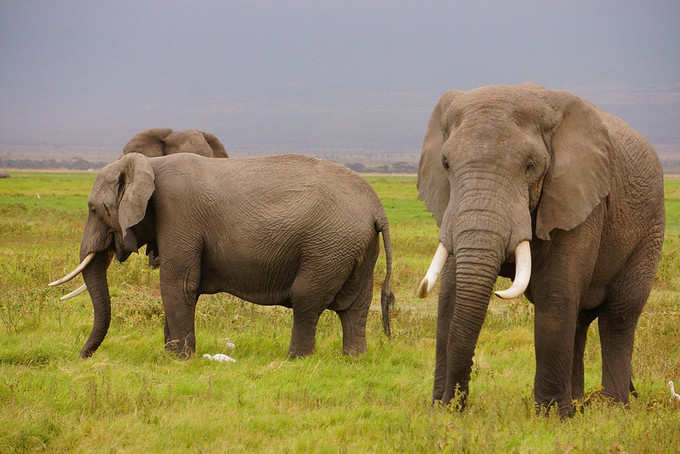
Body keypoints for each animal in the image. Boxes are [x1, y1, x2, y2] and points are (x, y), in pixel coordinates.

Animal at [49, 154, 394, 360]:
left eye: (94, 209)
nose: (81, 358)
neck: (150, 164)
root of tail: (378, 209)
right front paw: (170, 355)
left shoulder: (180, 216)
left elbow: (178, 284)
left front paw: (178, 360)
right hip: (356, 247)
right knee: (355, 306)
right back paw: (353, 360)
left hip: (328, 246)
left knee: (306, 300)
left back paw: (294, 361)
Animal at [414, 83, 664, 416]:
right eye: (445, 164)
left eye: (530, 166)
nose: (453, 402)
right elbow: (451, 296)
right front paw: (442, 411)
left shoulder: (576, 196)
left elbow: (555, 294)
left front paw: (549, 418)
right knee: (579, 319)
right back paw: (578, 406)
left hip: (650, 228)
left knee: (619, 315)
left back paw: (611, 409)